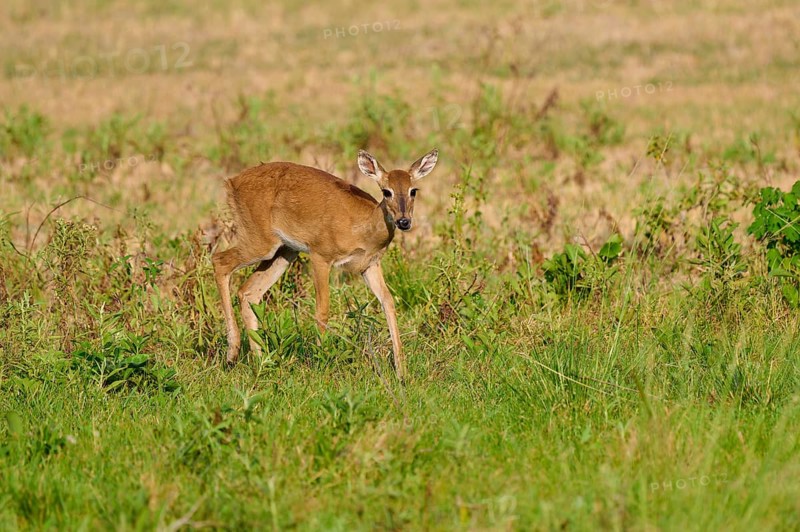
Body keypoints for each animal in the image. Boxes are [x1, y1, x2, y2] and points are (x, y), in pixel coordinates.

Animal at [212, 148, 439, 379]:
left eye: (413, 190)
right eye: (386, 191)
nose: (404, 221)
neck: (363, 229)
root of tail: (231, 182)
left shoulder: (370, 265)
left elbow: (388, 302)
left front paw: (402, 372)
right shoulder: (321, 254)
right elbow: (322, 309)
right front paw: (321, 364)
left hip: (284, 251)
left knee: (248, 291)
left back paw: (261, 362)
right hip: (259, 241)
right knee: (219, 261)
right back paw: (232, 353)